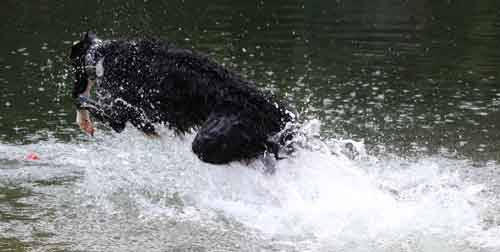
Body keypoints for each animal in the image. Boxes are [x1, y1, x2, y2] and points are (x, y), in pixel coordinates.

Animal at [71, 32, 296, 165]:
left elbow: (86, 104)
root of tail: (271, 110)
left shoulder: (119, 111)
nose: (73, 91)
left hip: (209, 139)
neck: (103, 54)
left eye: (72, 67)